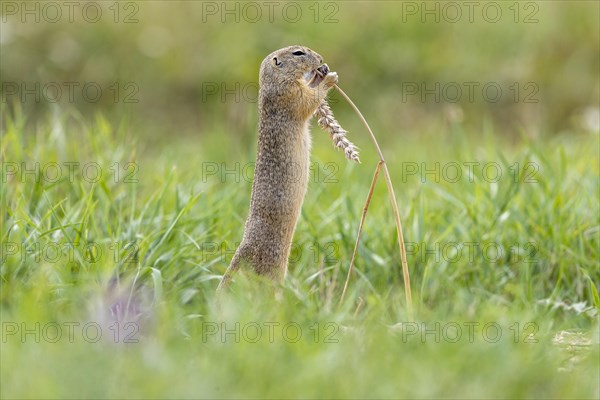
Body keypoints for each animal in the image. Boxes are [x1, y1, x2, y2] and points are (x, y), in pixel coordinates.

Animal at [218, 46, 352, 290]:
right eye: (298, 53)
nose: (321, 59)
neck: (273, 82)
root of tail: (242, 250)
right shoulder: (290, 94)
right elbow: (310, 100)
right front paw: (328, 78)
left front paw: (321, 73)